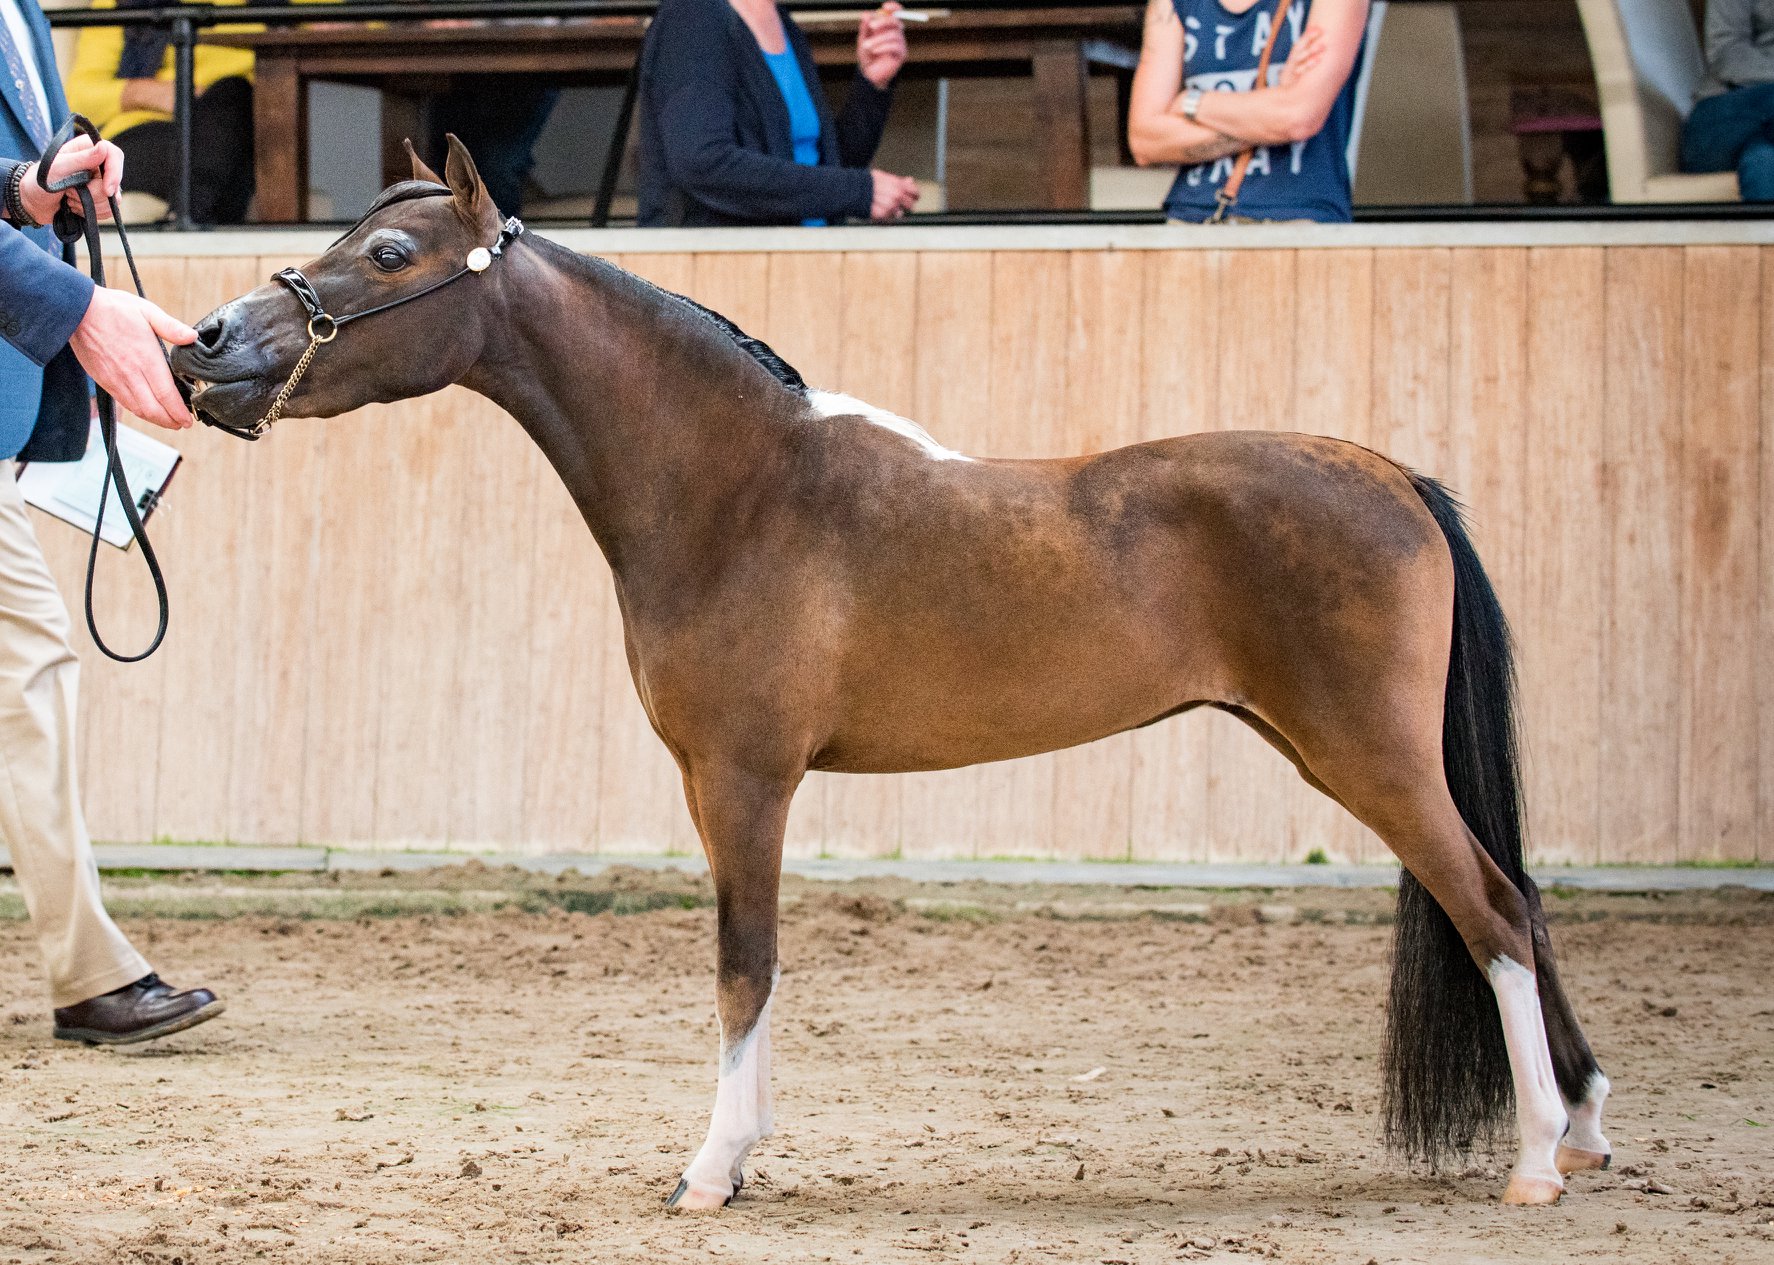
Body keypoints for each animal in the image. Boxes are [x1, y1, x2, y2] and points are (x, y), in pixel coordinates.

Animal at [171, 137, 1612, 1211]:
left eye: (387, 256)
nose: (206, 342)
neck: (743, 489)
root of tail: (1392, 476)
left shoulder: (742, 779)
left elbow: (743, 964)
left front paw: (712, 1170)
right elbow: (751, 967)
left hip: (1367, 756)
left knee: (1493, 908)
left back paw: (1537, 1164)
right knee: (1523, 903)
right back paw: (1586, 1128)